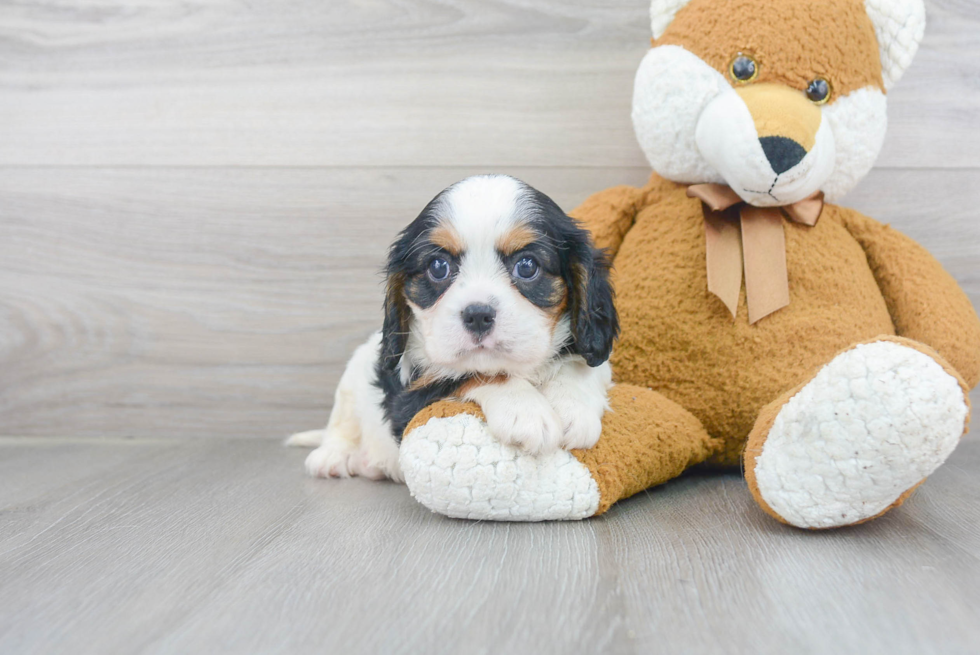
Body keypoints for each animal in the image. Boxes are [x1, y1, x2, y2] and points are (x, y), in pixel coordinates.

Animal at [288, 174, 616, 482]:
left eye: (527, 266)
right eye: (438, 267)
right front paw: (525, 411)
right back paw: (334, 457)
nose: (478, 315)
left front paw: (573, 408)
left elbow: (580, 364)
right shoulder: (409, 400)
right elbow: (468, 375)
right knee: (341, 425)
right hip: (352, 377)